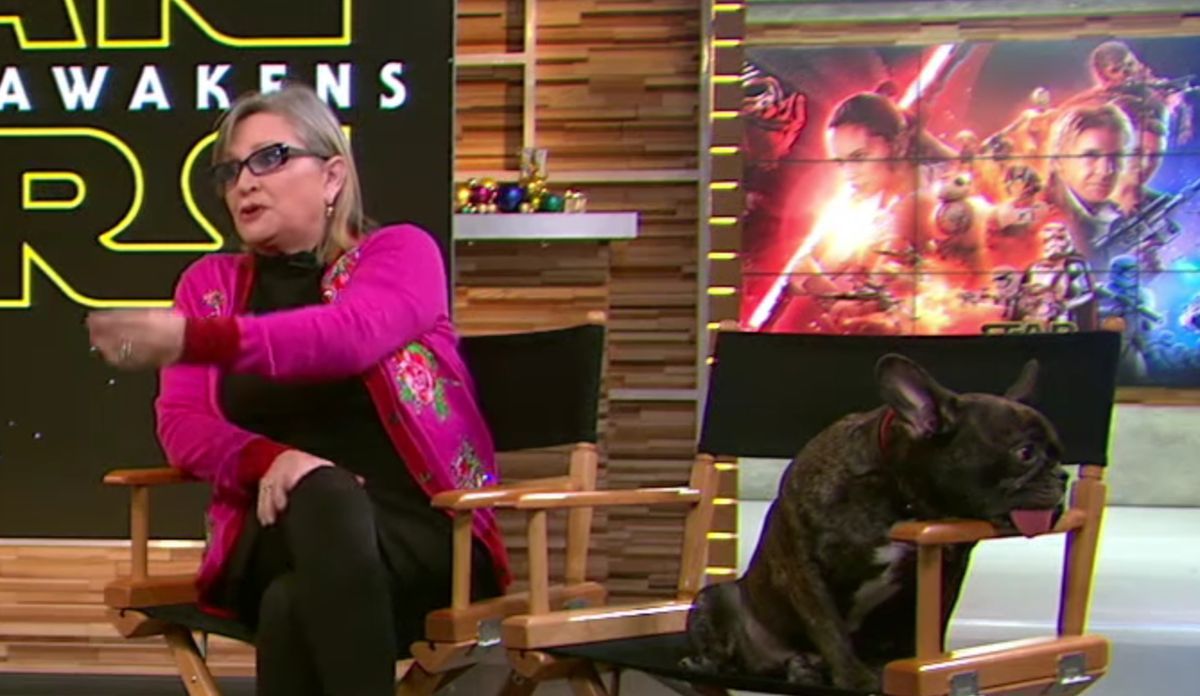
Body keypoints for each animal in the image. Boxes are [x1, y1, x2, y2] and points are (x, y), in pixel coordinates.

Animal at [684, 353, 1067, 690]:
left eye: (1058, 453)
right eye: (1025, 453)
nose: (1062, 476)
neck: (899, 493)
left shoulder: (949, 567)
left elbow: (932, 622)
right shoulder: (802, 564)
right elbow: (829, 627)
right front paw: (854, 679)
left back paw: (806, 667)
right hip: (715, 598)